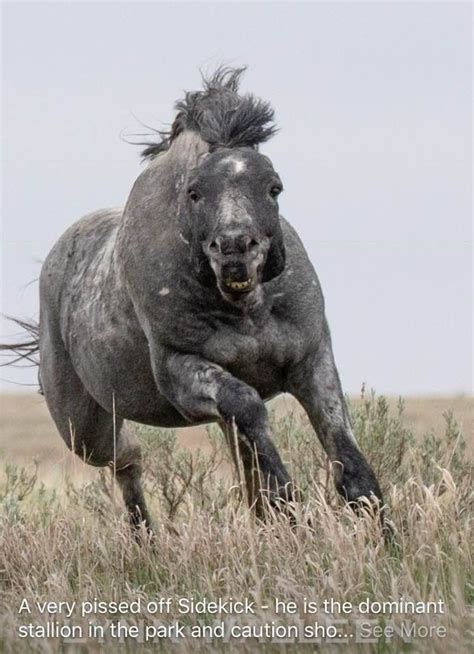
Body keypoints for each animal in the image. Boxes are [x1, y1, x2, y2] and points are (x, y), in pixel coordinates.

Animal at [3, 69, 384, 536]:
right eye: (195, 192)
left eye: (273, 187)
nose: (235, 249)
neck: (246, 309)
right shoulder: (181, 371)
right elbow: (250, 414)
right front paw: (290, 509)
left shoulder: (312, 363)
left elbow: (351, 468)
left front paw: (387, 541)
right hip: (82, 426)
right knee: (128, 459)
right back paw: (146, 537)